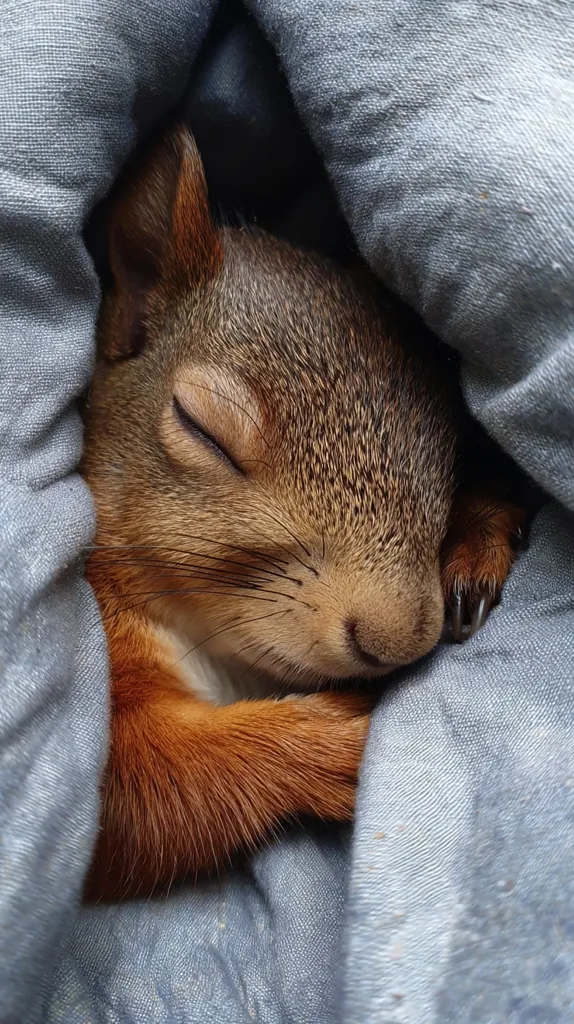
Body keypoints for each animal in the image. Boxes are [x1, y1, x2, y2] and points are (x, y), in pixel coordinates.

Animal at [82, 126, 524, 901]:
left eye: (451, 440)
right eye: (201, 429)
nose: (394, 642)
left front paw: (479, 535)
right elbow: (142, 790)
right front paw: (351, 739)